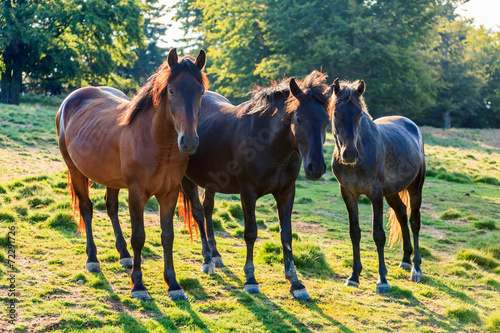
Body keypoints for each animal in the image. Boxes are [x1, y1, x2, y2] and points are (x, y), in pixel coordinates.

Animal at [55, 48, 208, 300]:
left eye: (201, 92)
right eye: (172, 90)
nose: (189, 142)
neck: (158, 143)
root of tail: (72, 99)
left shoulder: (169, 194)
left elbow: (167, 236)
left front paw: (173, 284)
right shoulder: (137, 194)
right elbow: (139, 237)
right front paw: (138, 285)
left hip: (111, 179)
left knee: (111, 208)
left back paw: (124, 254)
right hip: (75, 170)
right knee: (87, 209)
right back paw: (92, 259)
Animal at [178, 71, 334, 300]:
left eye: (326, 121)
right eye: (299, 119)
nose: (316, 167)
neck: (269, 144)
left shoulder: (286, 193)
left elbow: (286, 234)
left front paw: (296, 282)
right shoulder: (248, 193)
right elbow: (250, 233)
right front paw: (250, 279)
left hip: (211, 183)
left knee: (207, 209)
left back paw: (216, 255)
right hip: (187, 180)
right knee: (198, 212)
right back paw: (207, 260)